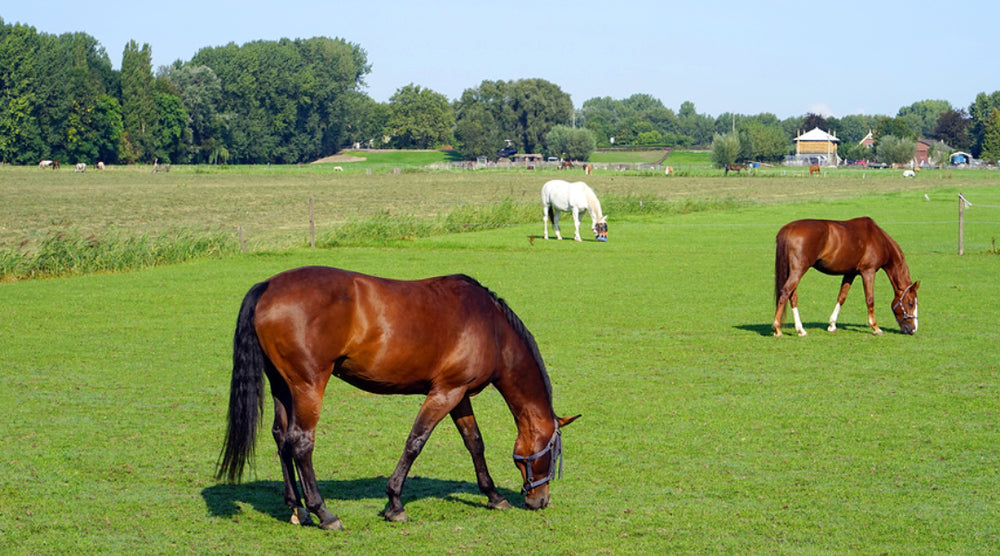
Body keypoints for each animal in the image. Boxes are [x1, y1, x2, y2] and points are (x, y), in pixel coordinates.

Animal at [217, 268, 580, 532]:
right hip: (308, 386)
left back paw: (297, 509)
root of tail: (268, 286)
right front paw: (394, 504)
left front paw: (492, 495)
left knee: (281, 439)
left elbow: (474, 442)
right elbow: (415, 442)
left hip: (283, 386)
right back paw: (323, 513)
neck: (492, 327)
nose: (540, 501)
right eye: (553, 455)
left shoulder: (459, 394)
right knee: (301, 443)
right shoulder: (445, 393)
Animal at [772, 218, 920, 338]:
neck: (878, 239)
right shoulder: (868, 272)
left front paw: (832, 325)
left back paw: (800, 330)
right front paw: (875, 328)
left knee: (792, 296)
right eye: (910, 303)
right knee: (785, 293)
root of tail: (788, 229)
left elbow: (842, 297)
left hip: (793, 271)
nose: (913, 329)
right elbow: (870, 299)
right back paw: (778, 329)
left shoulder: (850, 273)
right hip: (798, 271)